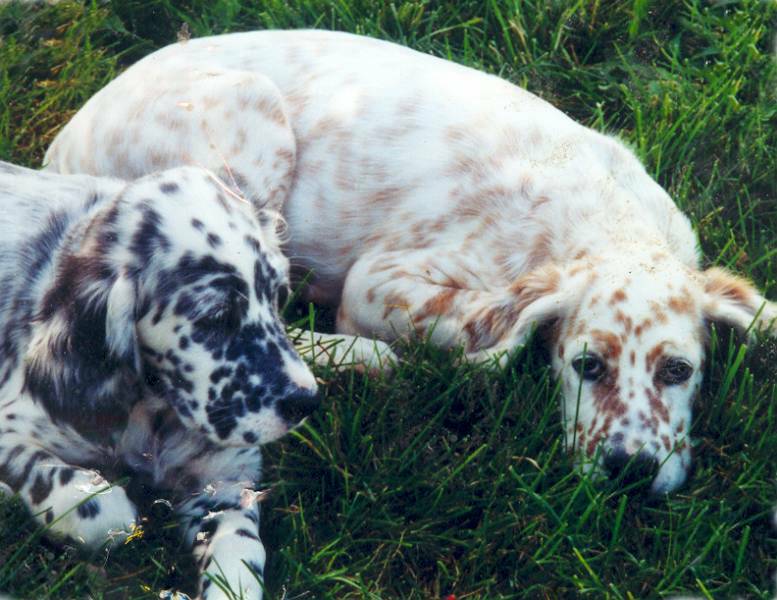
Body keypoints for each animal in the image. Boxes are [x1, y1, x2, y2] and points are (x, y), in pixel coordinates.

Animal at [0, 161, 318, 600]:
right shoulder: (13, 422)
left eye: (279, 296)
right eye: (216, 318)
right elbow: (98, 508)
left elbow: (241, 555)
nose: (307, 401)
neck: (154, 413)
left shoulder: (223, 480)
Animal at [45, 29, 772, 496]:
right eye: (585, 365)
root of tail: (57, 151)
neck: (605, 221)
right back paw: (360, 360)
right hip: (250, 122)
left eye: (678, 370)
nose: (629, 473)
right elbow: (475, 328)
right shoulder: (378, 279)